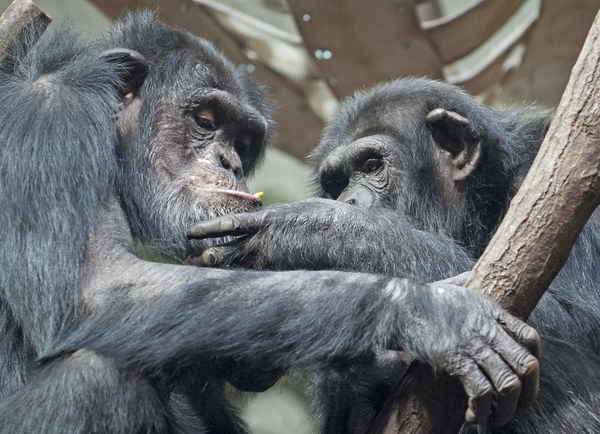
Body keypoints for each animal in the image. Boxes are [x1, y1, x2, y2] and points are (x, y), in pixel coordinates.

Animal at [0, 13, 540, 430]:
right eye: (204, 120)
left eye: (242, 141)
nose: (230, 161)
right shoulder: (50, 116)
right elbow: (98, 287)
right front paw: (431, 312)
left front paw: (307, 232)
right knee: (92, 376)